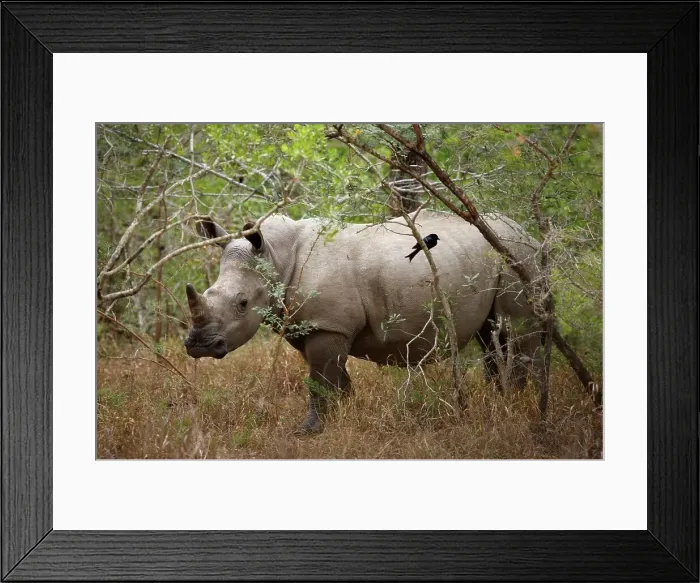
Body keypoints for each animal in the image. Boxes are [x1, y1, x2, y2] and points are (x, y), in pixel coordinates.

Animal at [184, 211, 545, 433]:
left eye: (243, 303)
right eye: (207, 291)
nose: (199, 346)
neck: (277, 255)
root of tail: (527, 233)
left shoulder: (327, 324)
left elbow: (319, 380)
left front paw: (308, 432)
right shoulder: (313, 324)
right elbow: (331, 377)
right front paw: (344, 415)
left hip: (515, 256)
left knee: (515, 330)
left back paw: (513, 406)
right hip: (500, 255)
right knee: (490, 336)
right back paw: (497, 400)